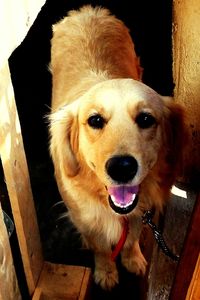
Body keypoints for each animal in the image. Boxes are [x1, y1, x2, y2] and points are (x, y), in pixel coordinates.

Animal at [48, 5, 186, 290]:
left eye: (145, 119)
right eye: (95, 120)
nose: (122, 168)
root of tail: (88, 10)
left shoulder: (140, 212)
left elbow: (131, 238)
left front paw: (132, 259)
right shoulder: (84, 217)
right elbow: (100, 247)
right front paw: (106, 272)